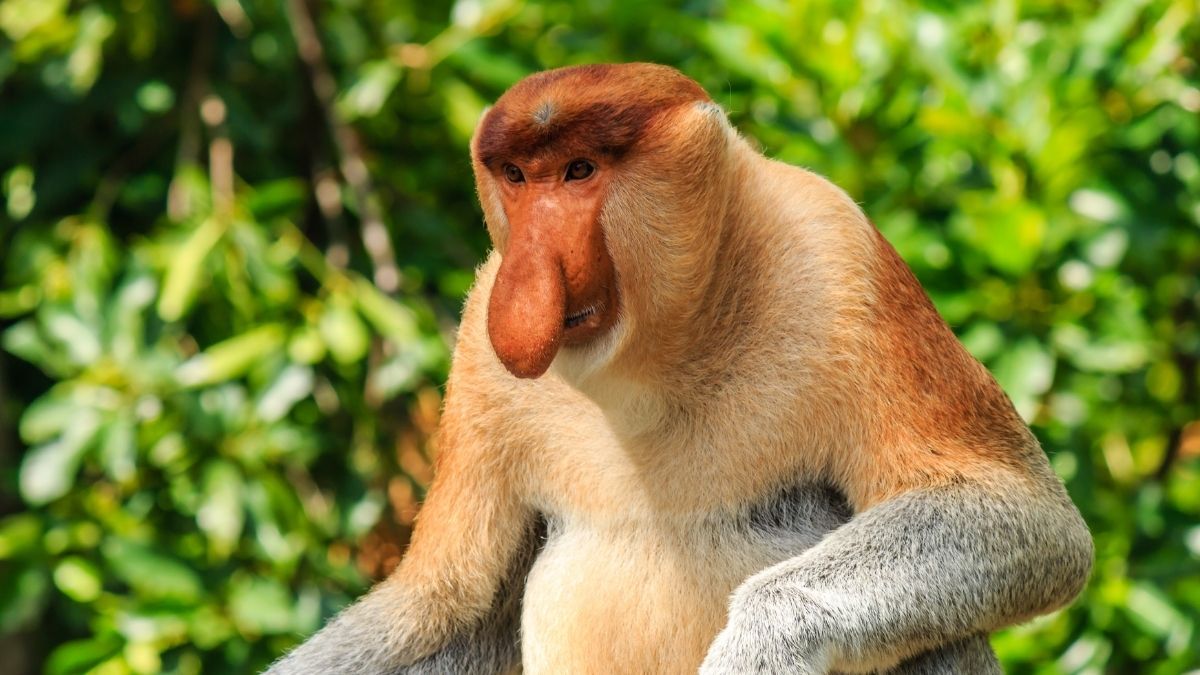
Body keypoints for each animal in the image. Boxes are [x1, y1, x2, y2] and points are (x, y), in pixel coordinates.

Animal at [268, 63, 1092, 674]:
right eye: (516, 177)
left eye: (579, 171)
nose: (527, 278)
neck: (656, 361)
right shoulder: (480, 352)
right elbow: (445, 605)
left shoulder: (841, 257)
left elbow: (1022, 514)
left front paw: (760, 649)